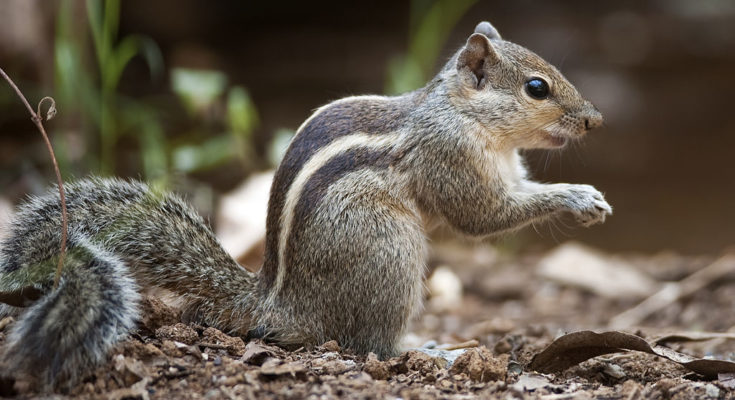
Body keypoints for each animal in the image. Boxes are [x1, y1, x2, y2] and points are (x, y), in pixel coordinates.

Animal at [0, 21, 608, 388]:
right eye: (536, 88)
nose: (595, 121)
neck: (463, 113)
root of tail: (276, 306)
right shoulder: (450, 156)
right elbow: (482, 216)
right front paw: (578, 196)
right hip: (390, 251)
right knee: (371, 346)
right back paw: (434, 352)